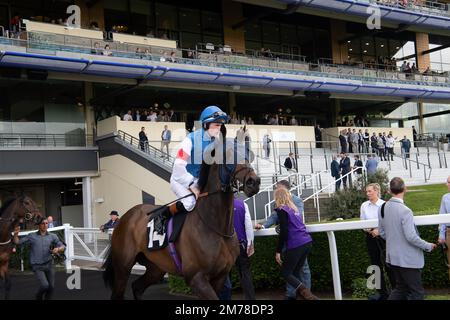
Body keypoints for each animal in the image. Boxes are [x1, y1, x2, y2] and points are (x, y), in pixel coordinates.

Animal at [102, 138, 260, 300]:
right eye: (228, 154)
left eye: (247, 152)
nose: (253, 182)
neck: (217, 228)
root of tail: (125, 217)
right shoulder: (196, 278)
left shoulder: (220, 276)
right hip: (123, 266)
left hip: (156, 267)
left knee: (137, 287)